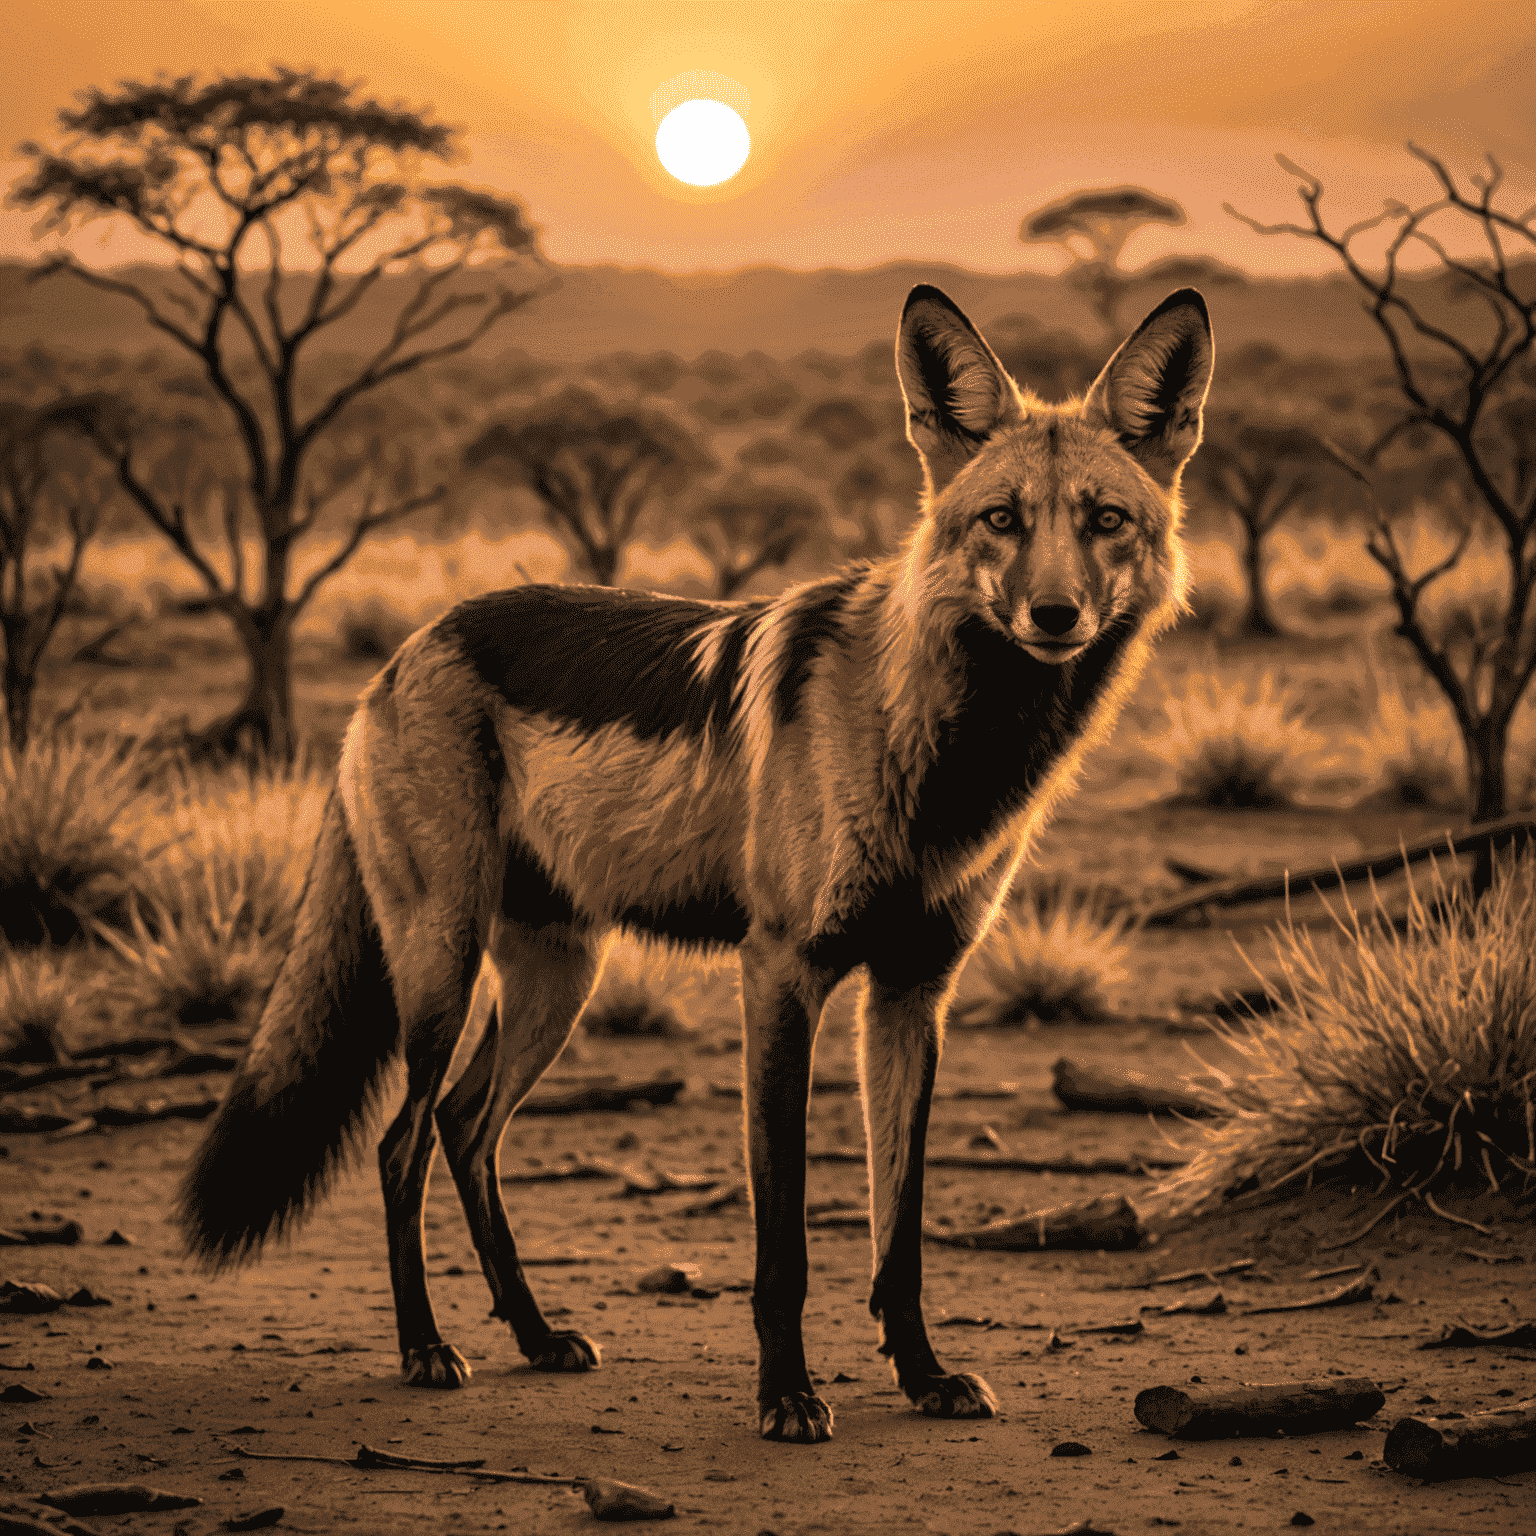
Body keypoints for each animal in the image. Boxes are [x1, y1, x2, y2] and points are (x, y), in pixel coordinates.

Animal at [179, 282, 1210, 1443]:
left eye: (1104, 521)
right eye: (1003, 521)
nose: (1055, 614)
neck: (941, 755)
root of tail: (408, 648)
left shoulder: (911, 993)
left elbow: (897, 1233)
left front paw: (923, 1376)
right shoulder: (782, 975)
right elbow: (785, 1247)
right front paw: (787, 1396)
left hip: (558, 983)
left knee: (464, 1129)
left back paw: (534, 1334)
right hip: (442, 969)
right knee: (401, 1147)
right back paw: (425, 1348)